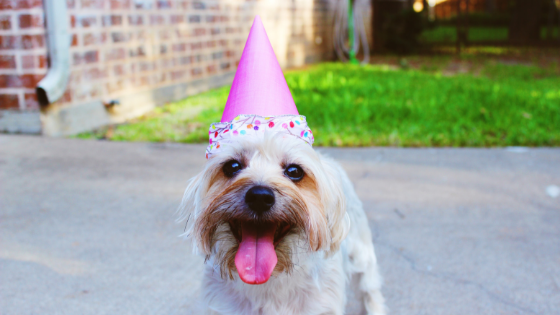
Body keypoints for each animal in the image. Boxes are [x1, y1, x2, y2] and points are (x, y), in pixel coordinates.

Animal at [179, 134, 384, 315]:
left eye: (294, 171)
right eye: (232, 166)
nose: (259, 197)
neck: (267, 280)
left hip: (362, 255)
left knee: (370, 290)